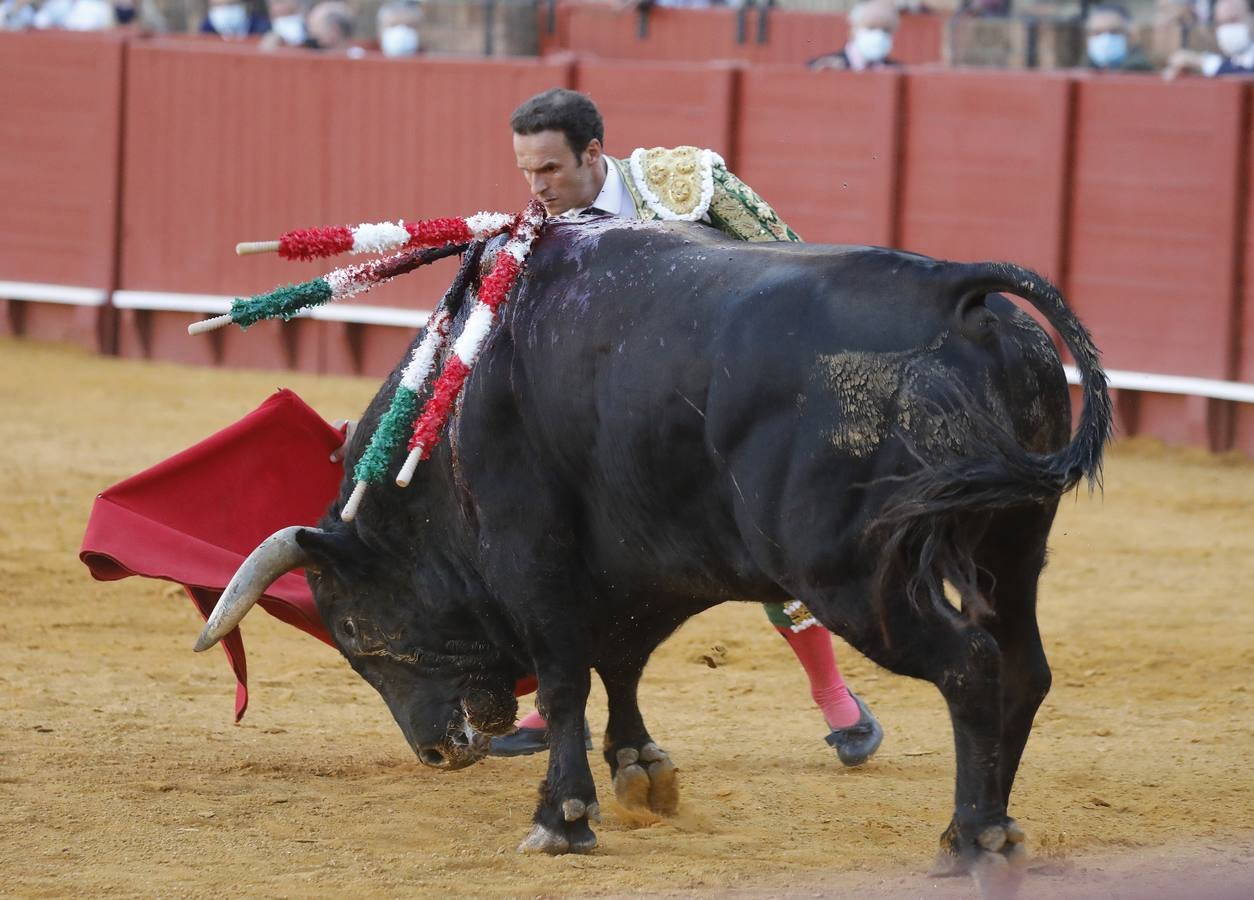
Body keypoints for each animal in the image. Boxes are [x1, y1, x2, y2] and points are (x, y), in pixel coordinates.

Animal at [193, 218, 1108, 897]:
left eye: (352, 630)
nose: (437, 754)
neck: (454, 421)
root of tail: (954, 295)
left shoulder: (534, 560)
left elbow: (566, 680)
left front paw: (561, 819)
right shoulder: (643, 565)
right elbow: (620, 660)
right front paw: (639, 768)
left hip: (855, 575)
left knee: (969, 667)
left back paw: (974, 841)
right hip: (1011, 543)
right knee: (1023, 668)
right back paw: (987, 826)